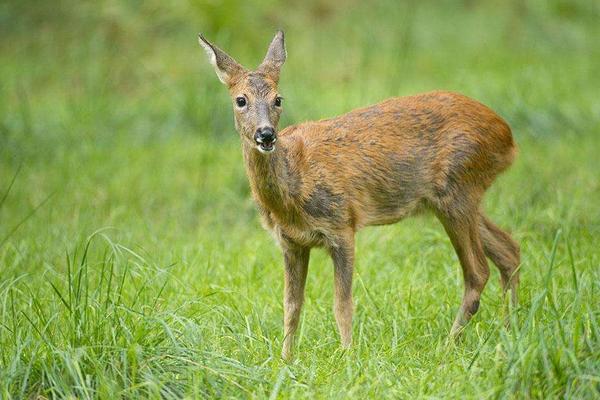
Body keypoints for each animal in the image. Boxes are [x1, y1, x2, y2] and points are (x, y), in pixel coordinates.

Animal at [198, 29, 520, 358]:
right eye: (241, 100)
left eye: (278, 99)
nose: (265, 135)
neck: (294, 188)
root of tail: (507, 137)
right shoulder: (290, 242)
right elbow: (291, 306)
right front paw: (285, 359)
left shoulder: (342, 225)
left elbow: (342, 304)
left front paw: (347, 356)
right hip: (457, 198)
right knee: (509, 250)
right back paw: (511, 331)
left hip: (457, 190)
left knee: (478, 271)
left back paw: (449, 346)